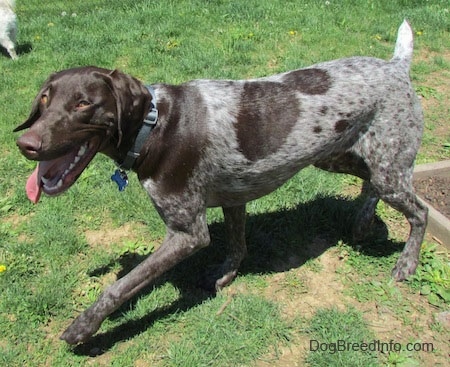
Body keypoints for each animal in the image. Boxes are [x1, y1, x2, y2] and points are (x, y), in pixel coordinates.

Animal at [14, 21, 428, 346]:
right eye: (45, 99)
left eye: (84, 103)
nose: (26, 144)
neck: (155, 126)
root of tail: (397, 66)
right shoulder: (234, 198)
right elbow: (237, 244)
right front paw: (227, 274)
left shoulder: (187, 233)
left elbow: (122, 285)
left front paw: (84, 326)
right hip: (341, 156)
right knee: (371, 186)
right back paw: (361, 223)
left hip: (386, 171)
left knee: (419, 210)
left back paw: (406, 264)